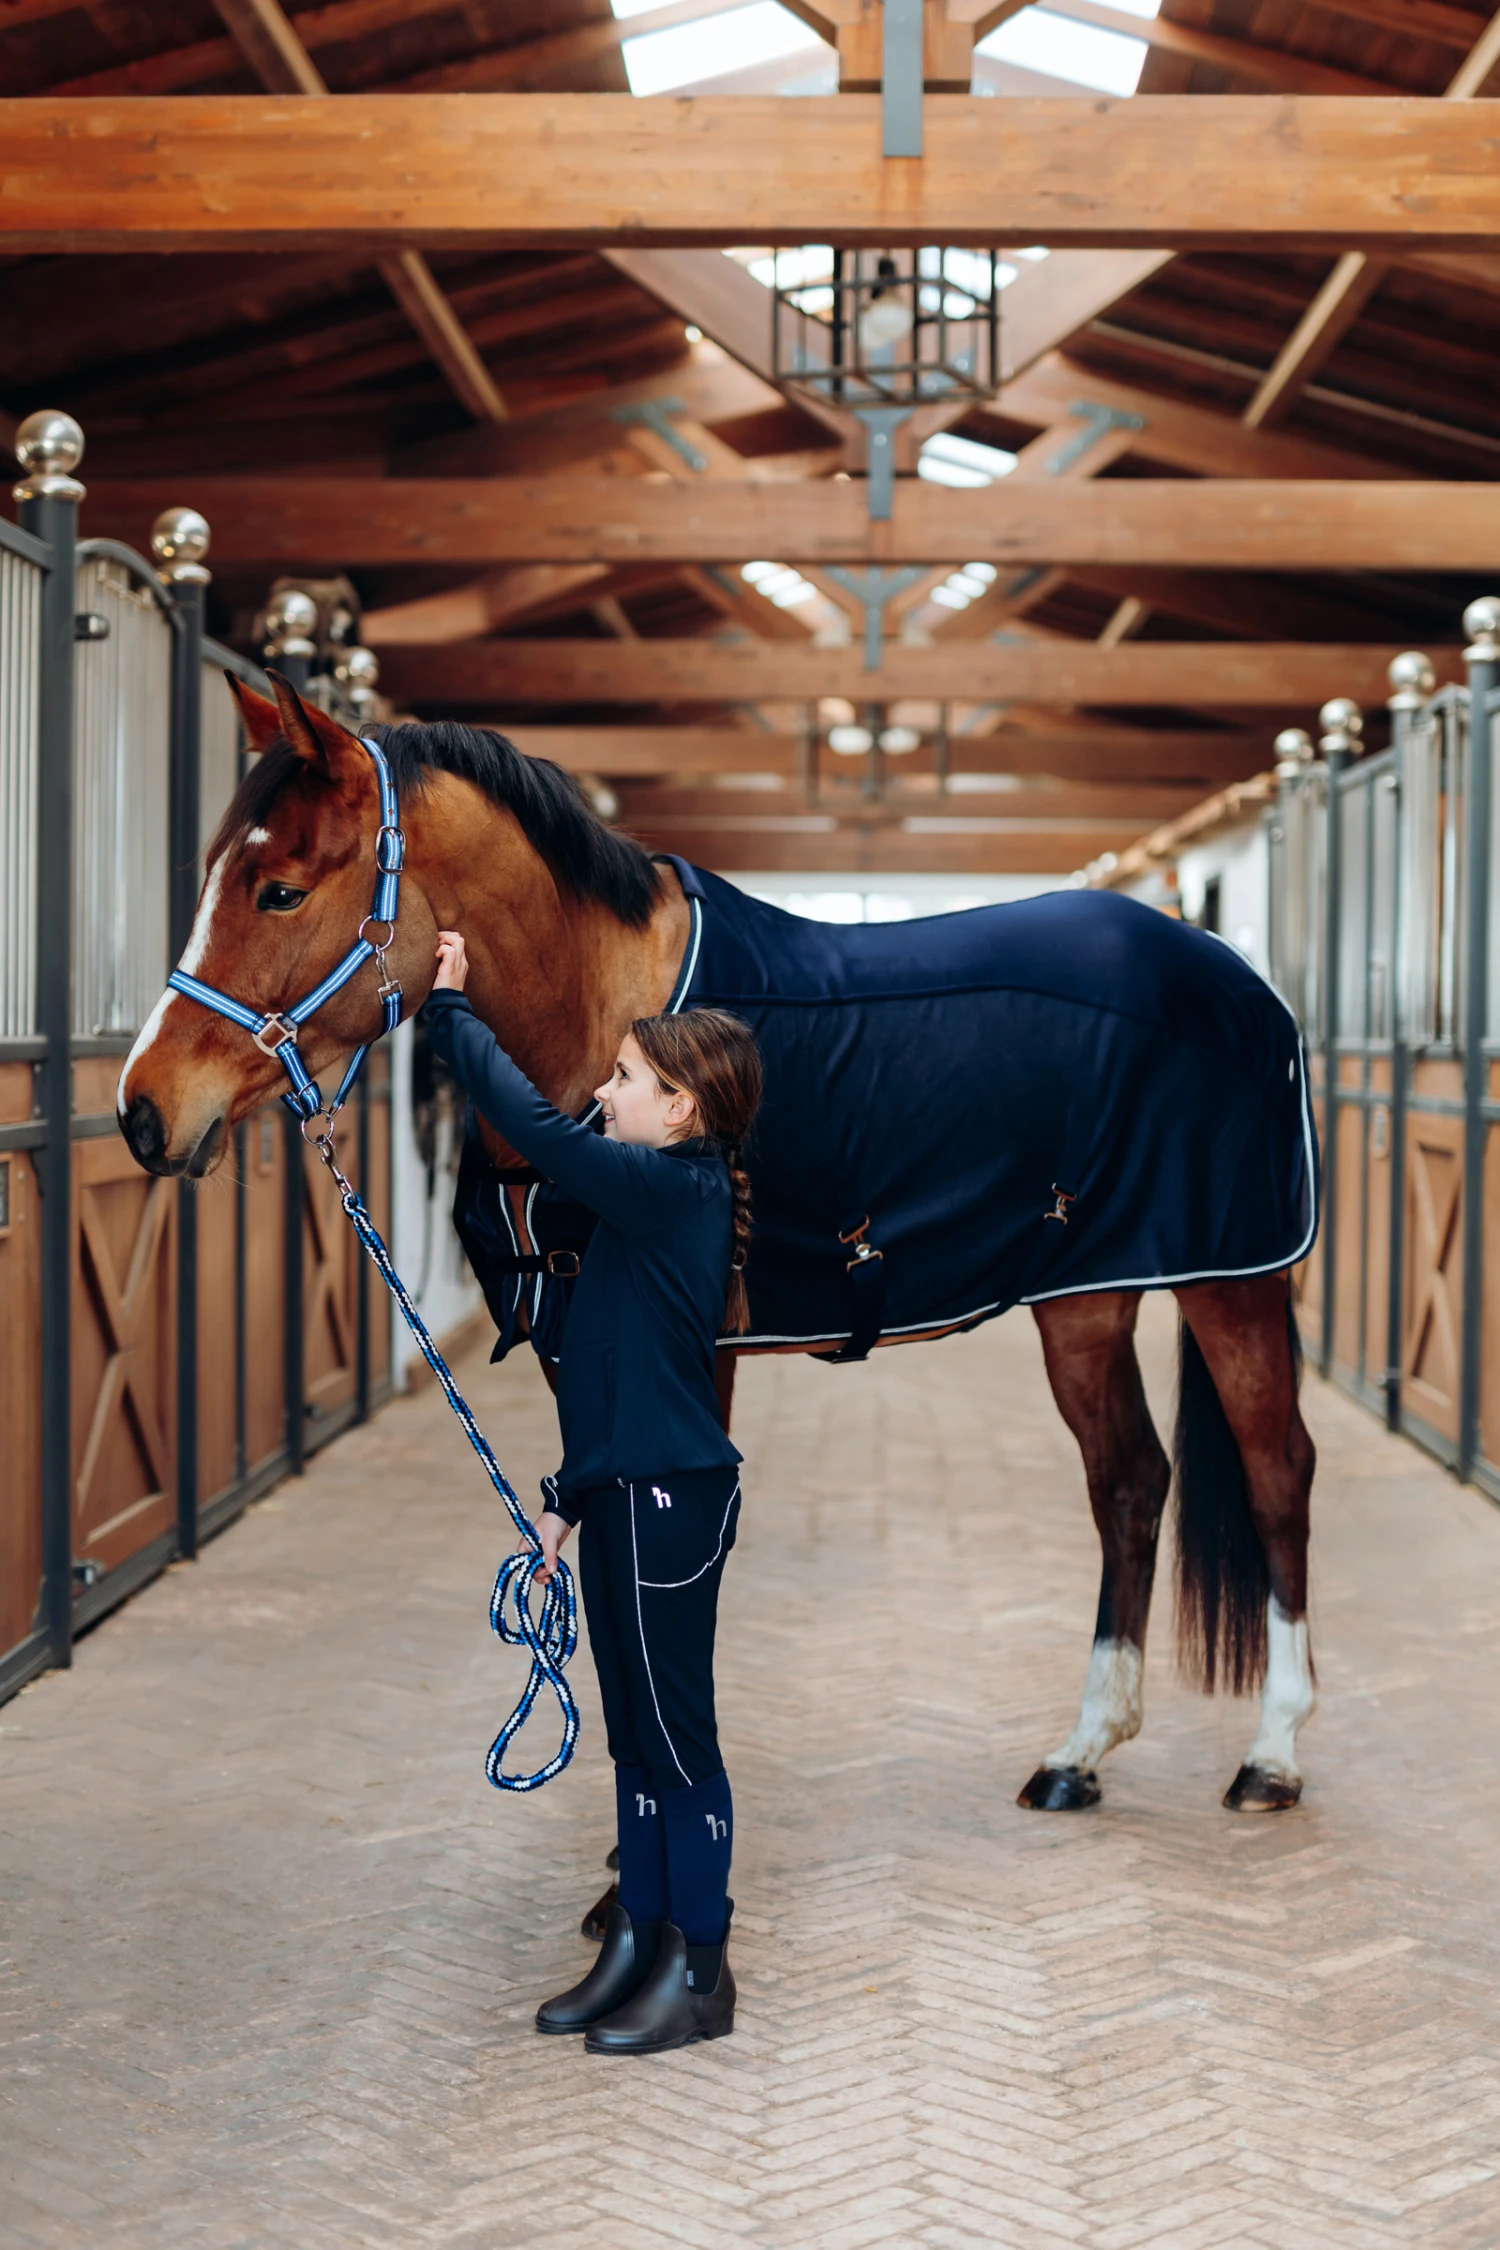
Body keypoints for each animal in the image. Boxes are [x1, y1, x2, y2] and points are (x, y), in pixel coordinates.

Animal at [119, 674, 1319, 1818]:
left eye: (280, 890)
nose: (141, 1111)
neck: (614, 1020)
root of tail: (1235, 977)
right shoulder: (578, 1348)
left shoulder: (694, 1358)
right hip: (1089, 1290)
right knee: (1129, 1482)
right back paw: (1081, 1755)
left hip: (1230, 1285)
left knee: (1275, 1474)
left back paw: (1271, 1758)